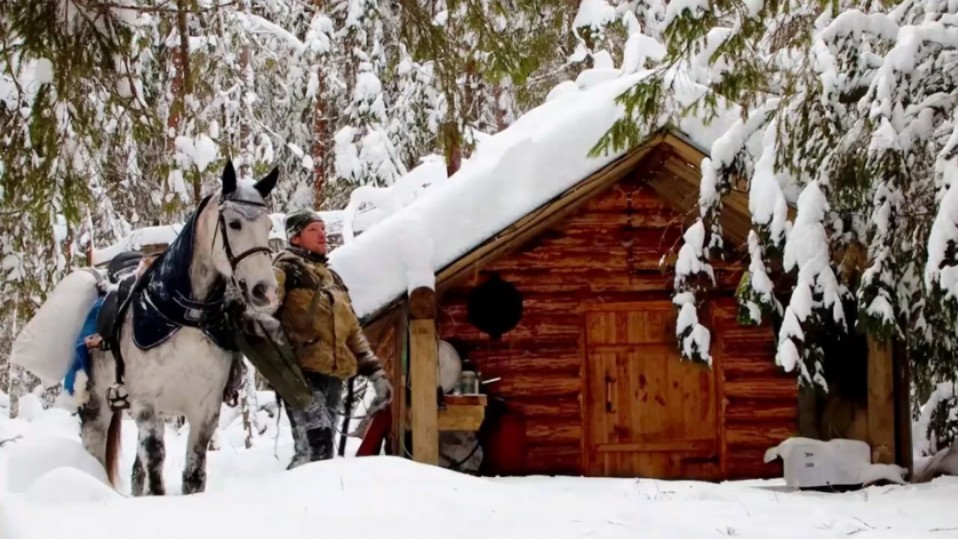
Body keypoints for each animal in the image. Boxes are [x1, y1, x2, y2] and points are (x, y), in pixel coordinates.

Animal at [79, 162, 282, 496]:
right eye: (234, 223)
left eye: (267, 225)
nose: (265, 291)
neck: (183, 317)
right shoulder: (146, 406)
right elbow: (155, 466)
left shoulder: (205, 409)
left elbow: (194, 474)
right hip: (98, 407)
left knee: (136, 471)